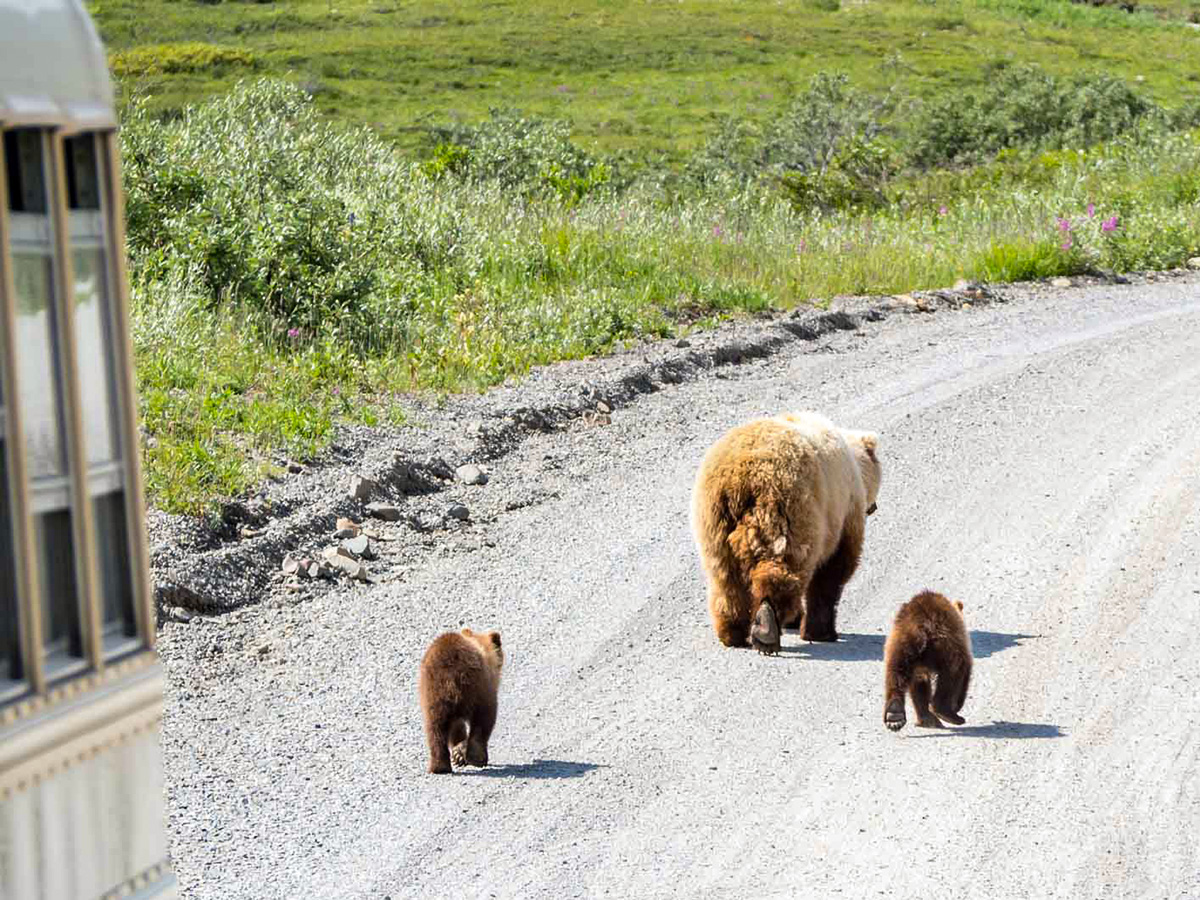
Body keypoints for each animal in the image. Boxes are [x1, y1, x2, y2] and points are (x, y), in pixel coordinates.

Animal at [420, 628, 504, 777]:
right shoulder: (488, 690)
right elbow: (485, 719)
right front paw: (461, 754)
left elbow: (456, 728)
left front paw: (458, 754)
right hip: (477, 689)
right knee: (482, 721)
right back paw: (477, 757)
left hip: (433, 697)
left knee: (435, 729)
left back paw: (439, 767)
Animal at [691, 415, 878, 657]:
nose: (873, 507)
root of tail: (737, 482)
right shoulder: (843, 512)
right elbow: (834, 570)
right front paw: (822, 631)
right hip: (787, 507)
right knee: (783, 566)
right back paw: (766, 627)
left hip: (714, 521)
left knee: (724, 576)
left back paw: (732, 632)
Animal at [883, 592, 974, 734]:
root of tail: (920, 628)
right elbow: (965, 669)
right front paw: (956, 705)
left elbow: (919, 685)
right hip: (946, 645)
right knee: (953, 673)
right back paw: (948, 713)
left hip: (898, 647)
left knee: (896, 676)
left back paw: (895, 716)